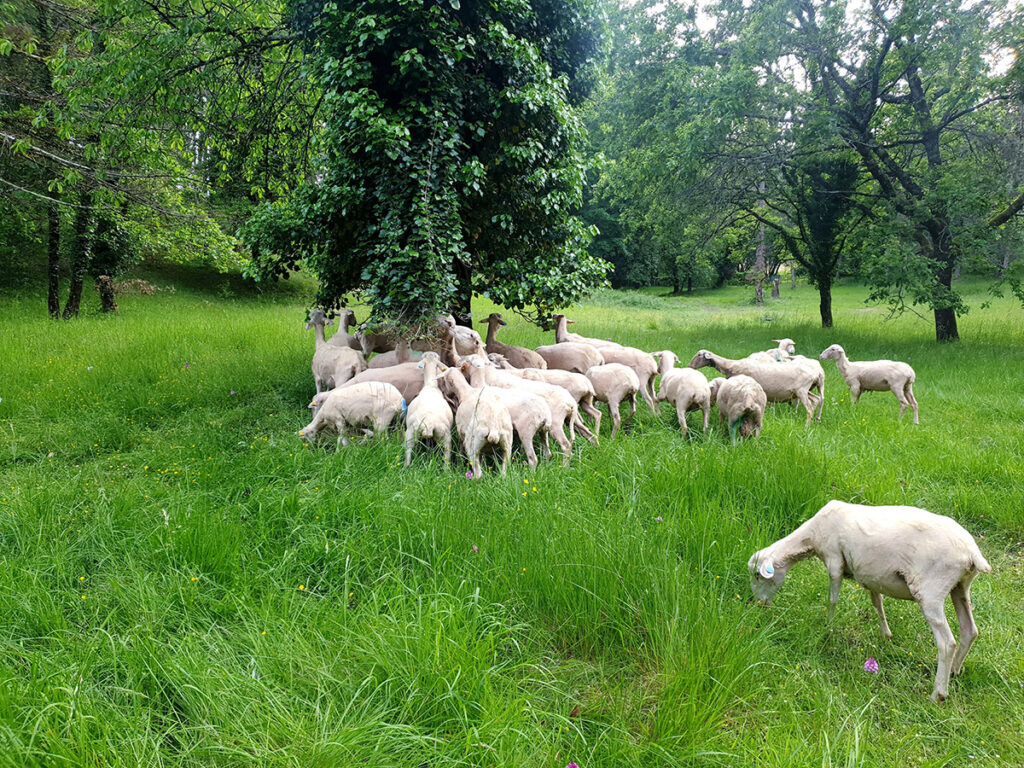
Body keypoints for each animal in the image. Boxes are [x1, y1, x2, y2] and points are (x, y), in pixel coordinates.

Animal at [688, 350, 823, 428]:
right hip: (804, 390)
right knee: (817, 400)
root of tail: (817, 372)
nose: (689, 366)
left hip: (802, 390)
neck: (729, 366)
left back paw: (806, 427)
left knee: (810, 408)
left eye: (699, 355)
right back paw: (815, 420)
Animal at [749, 499, 987, 704]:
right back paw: (955, 671)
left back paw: (938, 694)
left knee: (947, 643)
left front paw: (828, 629)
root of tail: (972, 553)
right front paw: (886, 635)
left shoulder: (834, 561)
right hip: (960, 586)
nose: (757, 604)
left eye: (758, 575)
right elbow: (877, 603)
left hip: (931, 591)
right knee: (970, 630)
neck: (812, 535)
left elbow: (833, 599)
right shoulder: (873, 577)